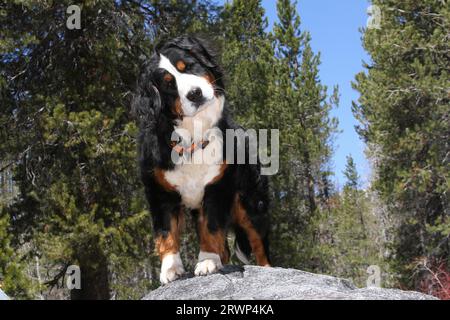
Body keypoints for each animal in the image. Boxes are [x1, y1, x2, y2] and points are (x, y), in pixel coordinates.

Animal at [132, 35, 268, 284]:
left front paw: (207, 261)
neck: (193, 137)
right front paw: (170, 269)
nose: (194, 93)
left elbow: (211, 227)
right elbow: (165, 232)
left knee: (260, 245)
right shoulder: (159, 192)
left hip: (251, 203)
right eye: (168, 84)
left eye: (188, 66)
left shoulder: (217, 187)